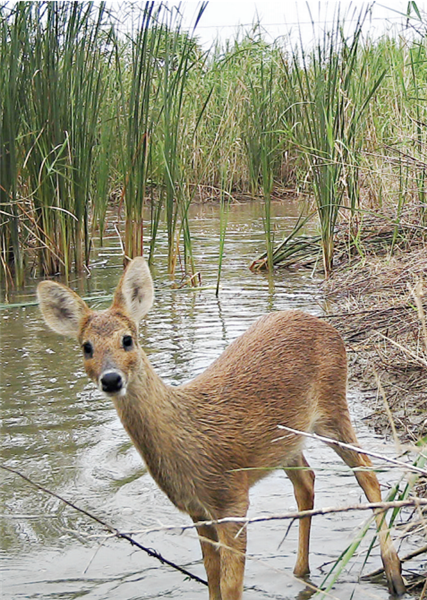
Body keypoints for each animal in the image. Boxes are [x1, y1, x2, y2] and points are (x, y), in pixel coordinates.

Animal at [36, 258, 404, 600]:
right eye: (86, 347)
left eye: (128, 340)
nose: (111, 379)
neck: (188, 435)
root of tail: (326, 326)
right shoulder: (196, 510)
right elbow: (212, 580)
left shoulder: (232, 499)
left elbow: (230, 586)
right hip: (288, 440)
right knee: (307, 482)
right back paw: (301, 572)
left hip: (333, 406)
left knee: (367, 473)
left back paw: (394, 575)